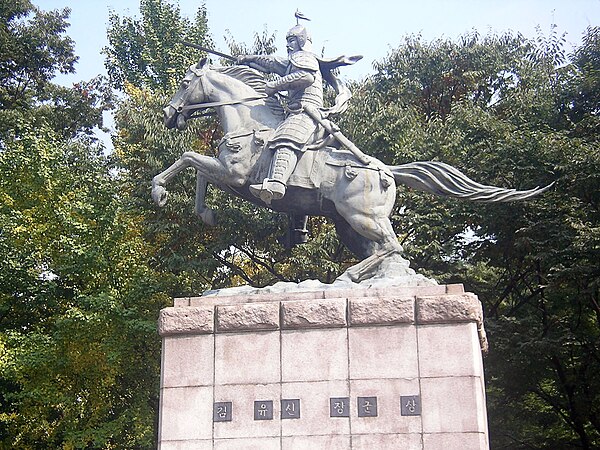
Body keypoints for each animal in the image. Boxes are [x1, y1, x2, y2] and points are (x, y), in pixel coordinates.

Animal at [154, 56, 548, 282]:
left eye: (185, 82)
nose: (168, 114)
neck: (250, 121)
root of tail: (388, 172)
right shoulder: (226, 174)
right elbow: (196, 169)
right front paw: (205, 214)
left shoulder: (233, 175)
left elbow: (188, 159)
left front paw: (160, 192)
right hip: (348, 226)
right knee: (386, 253)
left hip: (362, 218)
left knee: (392, 246)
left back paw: (350, 276)